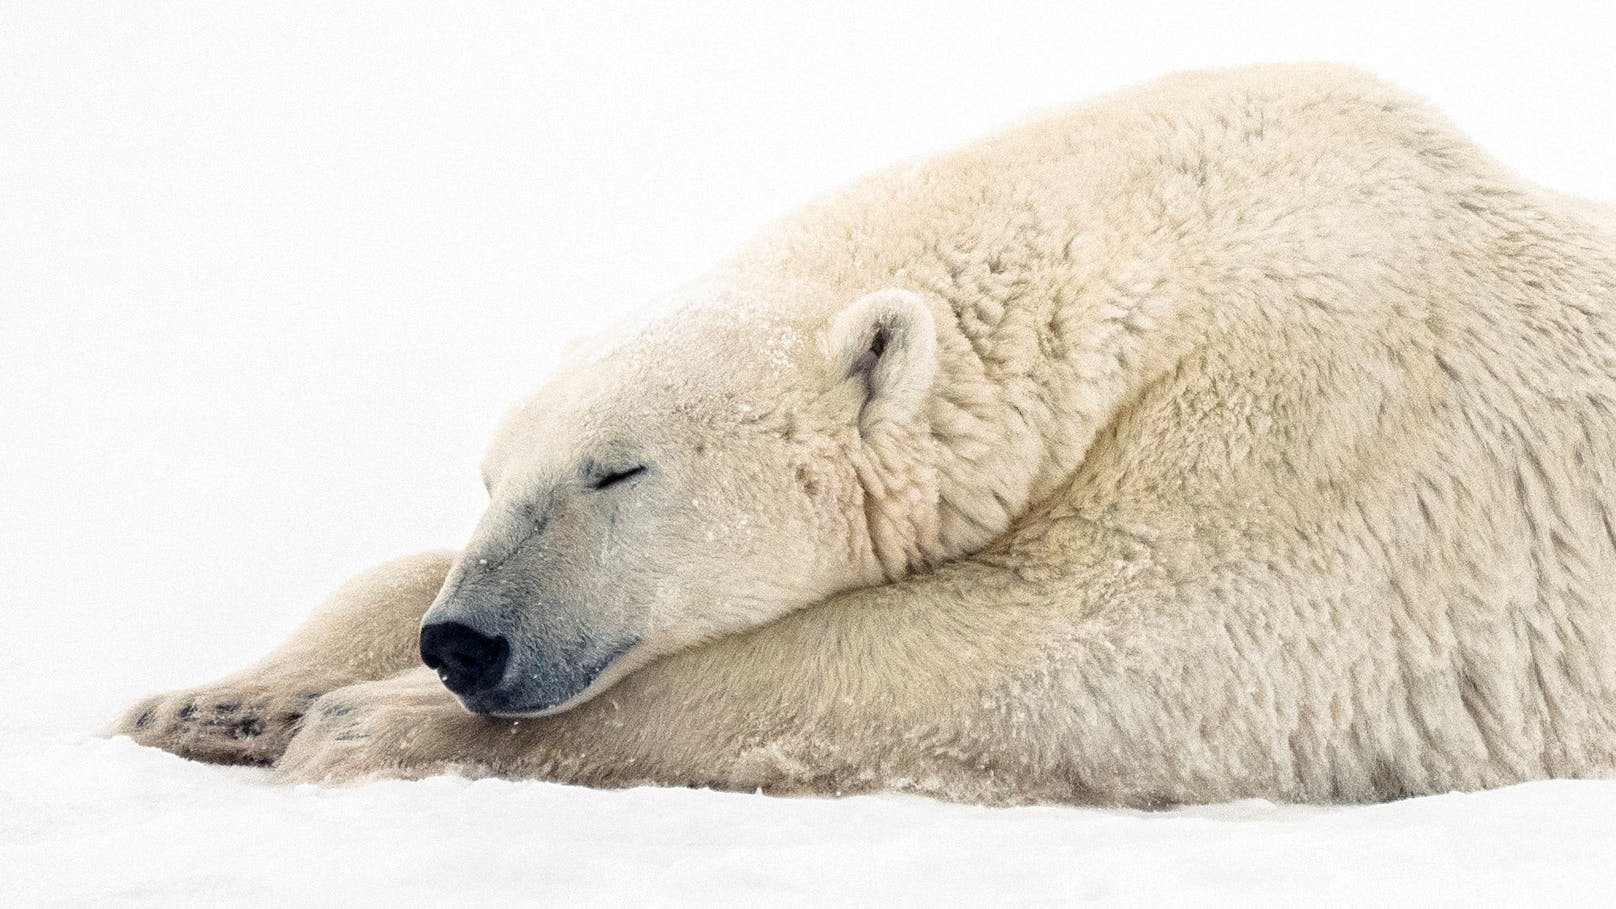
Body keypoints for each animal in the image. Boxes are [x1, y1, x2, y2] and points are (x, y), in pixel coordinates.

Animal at [119, 61, 1616, 799]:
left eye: (619, 469)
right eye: (491, 474)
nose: (466, 641)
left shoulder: (1332, 428)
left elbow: (1086, 650)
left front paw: (368, 724)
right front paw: (212, 700)